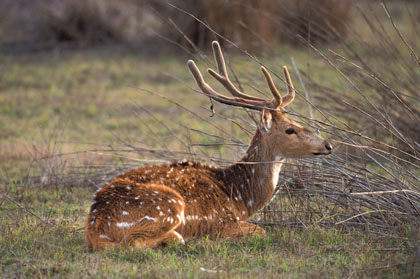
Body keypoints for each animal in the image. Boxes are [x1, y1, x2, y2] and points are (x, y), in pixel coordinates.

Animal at [85, 41, 332, 252]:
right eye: (290, 130)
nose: (328, 144)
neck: (240, 197)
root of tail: (95, 228)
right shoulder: (225, 220)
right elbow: (261, 231)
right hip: (168, 204)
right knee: (135, 242)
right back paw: (184, 238)